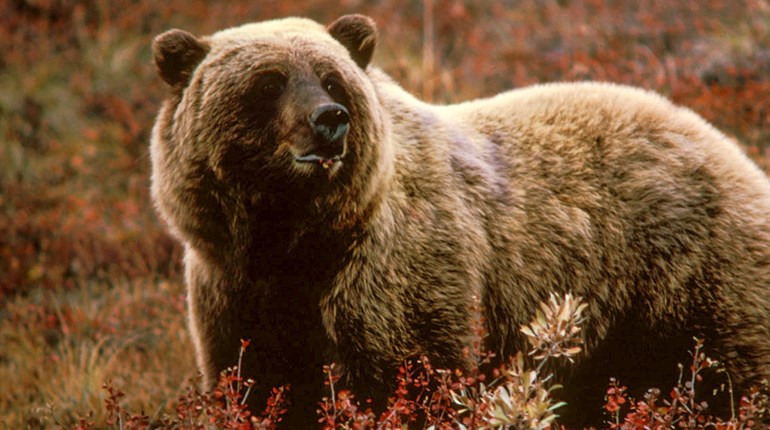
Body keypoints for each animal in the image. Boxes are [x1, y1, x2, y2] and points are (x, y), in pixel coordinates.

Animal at [150, 14, 770, 427]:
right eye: (270, 81)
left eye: (330, 78)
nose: (330, 120)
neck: (296, 239)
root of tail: (730, 147)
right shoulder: (232, 291)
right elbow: (255, 384)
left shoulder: (395, 276)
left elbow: (409, 378)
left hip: (687, 280)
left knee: (731, 375)